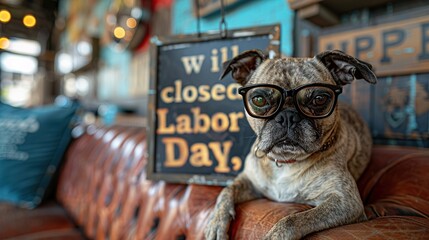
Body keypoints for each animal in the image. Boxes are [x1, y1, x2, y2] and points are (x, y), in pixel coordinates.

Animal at [203, 49, 374, 239]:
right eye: (259, 100)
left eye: (319, 99)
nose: (287, 116)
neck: (285, 161)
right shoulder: (248, 182)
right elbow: (226, 191)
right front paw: (216, 223)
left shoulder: (345, 201)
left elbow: (292, 220)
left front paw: (274, 236)